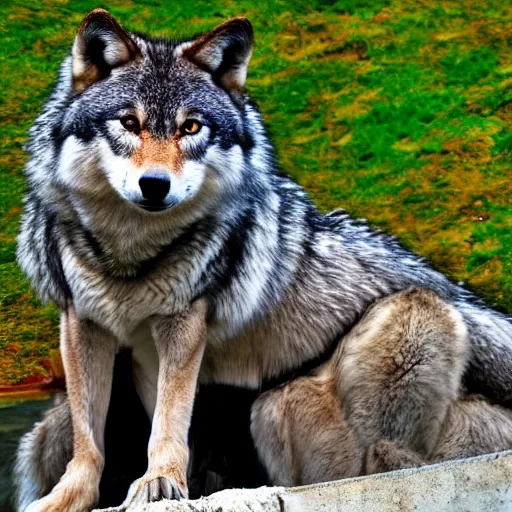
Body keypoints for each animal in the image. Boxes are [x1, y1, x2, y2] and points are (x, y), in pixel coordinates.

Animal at [14, 7, 512, 512]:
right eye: (129, 123)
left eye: (191, 127)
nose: (154, 185)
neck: (130, 258)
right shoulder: (84, 324)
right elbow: (89, 438)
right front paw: (68, 499)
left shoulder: (183, 323)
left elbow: (168, 424)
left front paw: (159, 482)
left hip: (307, 388)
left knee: (384, 460)